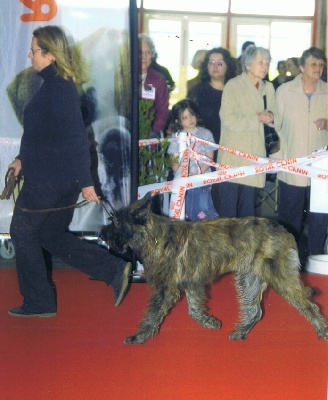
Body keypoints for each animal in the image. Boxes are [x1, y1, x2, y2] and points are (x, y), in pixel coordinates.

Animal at [100, 194, 328, 344]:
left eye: (117, 222)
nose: (101, 234)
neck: (153, 236)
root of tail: (284, 230)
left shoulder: (166, 288)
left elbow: (152, 314)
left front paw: (139, 337)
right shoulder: (192, 283)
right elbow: (193, 309)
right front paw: (209, 322)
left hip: (281, 278)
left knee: (309, 306)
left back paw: (323, 331)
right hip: (250, 279)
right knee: (255, 311)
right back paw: (241, 332)